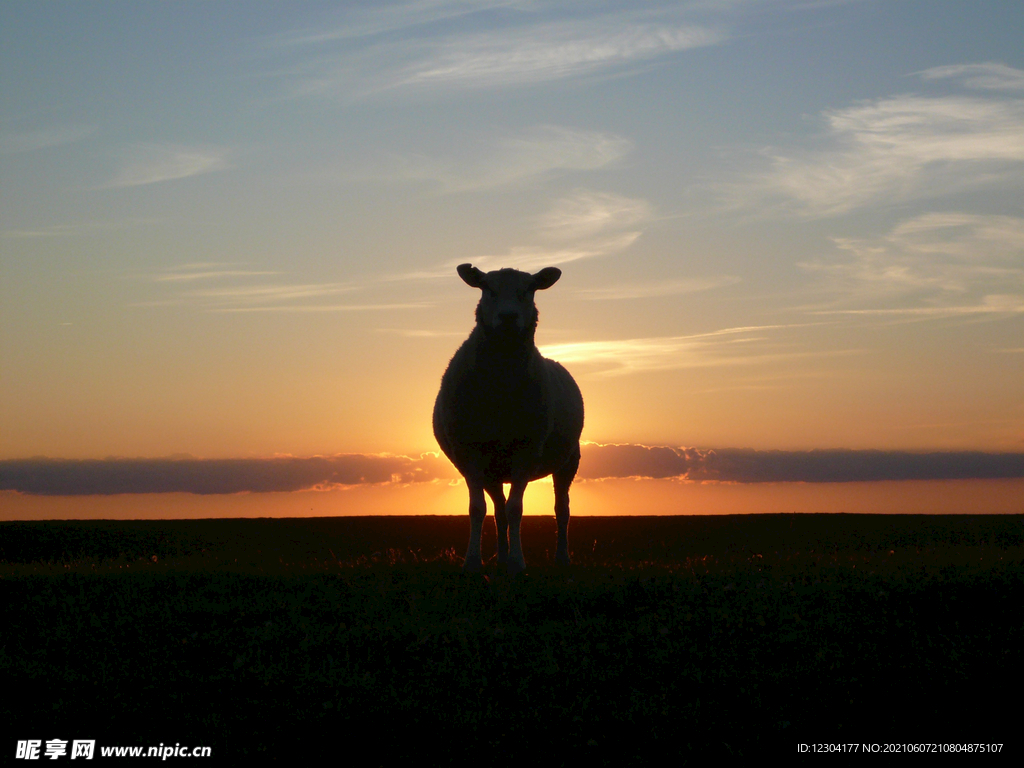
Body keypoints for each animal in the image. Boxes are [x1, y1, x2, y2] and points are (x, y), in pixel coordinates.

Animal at [432, 262, 585, 573]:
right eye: (487, 288)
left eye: (529, 289)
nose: (508, 317)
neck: (500, 387)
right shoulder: (470, 453)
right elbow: (478, 510)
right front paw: (473, 562)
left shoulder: (526, 451)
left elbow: (517, 510)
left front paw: (517, 562)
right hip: (492, 470)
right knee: (498, 511)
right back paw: (500, 558)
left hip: (569, 461)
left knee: (561, 509)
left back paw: (562, 558)